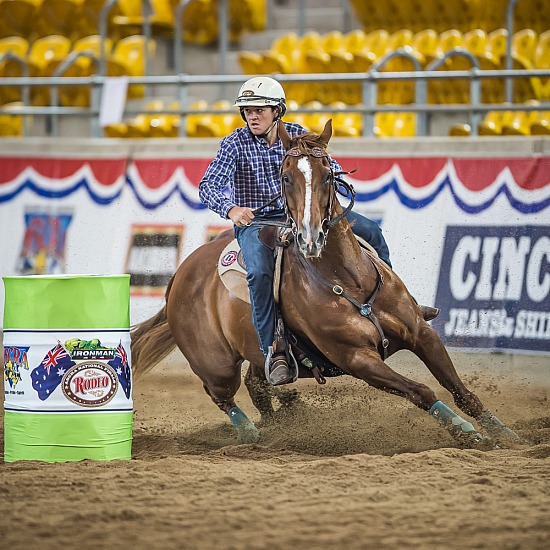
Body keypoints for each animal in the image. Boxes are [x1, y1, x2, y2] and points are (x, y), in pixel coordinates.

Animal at [132, 119, 524, 448]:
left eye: (327, 175)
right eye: (285, 177)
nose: (310, 238)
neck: (349, 281)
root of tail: (179, 277)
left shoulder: (421, 334)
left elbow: (459, 389)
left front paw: (505, 432)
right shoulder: (357, 359)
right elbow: (421, 390)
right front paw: (467, 431)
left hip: (256, 355)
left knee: (257, 385)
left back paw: (284, 418)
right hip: (216, 363)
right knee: (222, 394)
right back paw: (251, 433)